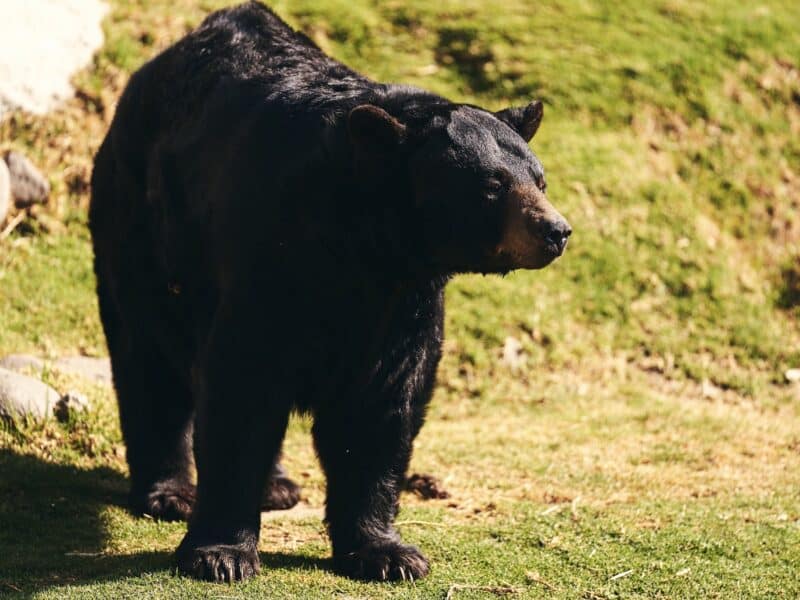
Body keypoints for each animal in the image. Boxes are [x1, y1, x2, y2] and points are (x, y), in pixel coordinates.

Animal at [89, 0, 570, 584]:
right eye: (493, 186)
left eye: (539, 180)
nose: (556, 230)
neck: (364, 246)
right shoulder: (273, 257)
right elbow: (243, 385)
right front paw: (220, 553)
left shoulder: (402, 304)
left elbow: (381, 407)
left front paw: (387, 552)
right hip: (144, 226)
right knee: (150, 354)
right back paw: (170, 492)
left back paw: (276, 485)